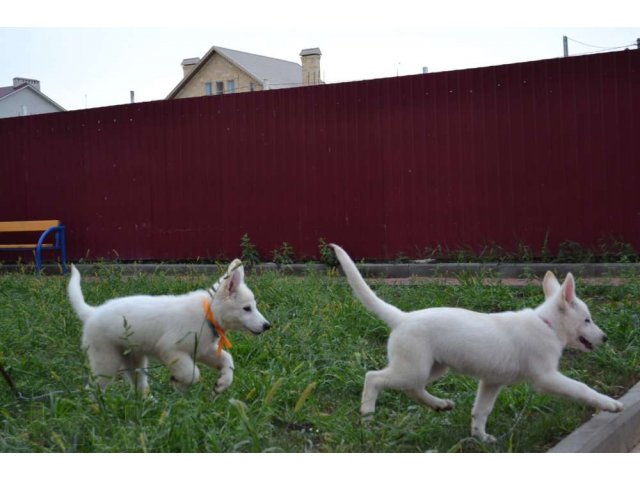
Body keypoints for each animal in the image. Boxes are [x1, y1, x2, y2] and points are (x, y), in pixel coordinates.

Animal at [68, 260, 270, 396]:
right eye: (247, 308)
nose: (267, 326)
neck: (208, 314)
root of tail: (92, 312)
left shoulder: (203, 350)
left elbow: (228, 359)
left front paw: (223, 383)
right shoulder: (172, 350)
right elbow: (193, 373)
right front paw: (179, 383)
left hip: (135, 362)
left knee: (139, 387)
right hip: (106, 361)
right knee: (92, 388)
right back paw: (96, 410)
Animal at [332, 244, 624, 442]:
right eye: (587, 320)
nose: (605, 338)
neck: (547, 325)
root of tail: (402, 317)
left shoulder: (491, 382)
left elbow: (481, 410)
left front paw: (479, 437)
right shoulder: (546, 377)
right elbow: (581, 388)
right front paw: (609, 404)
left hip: (431, 367)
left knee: (412, 389)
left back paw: (438, 404)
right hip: (413, 368)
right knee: (374, 378)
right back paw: (367, 416)